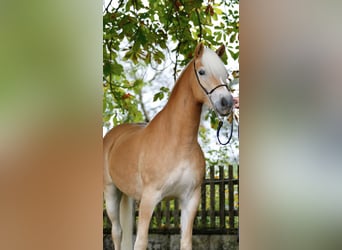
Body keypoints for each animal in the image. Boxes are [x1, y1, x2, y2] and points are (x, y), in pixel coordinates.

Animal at [103, 43, 234, 250]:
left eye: (226, 74)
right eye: (202, 71)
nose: (227, 103)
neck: (177, 143)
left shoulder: (190, 199)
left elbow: (186, 242)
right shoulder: (149, 199)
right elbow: (141, 242)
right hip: (110, 192)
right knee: (117, 232)